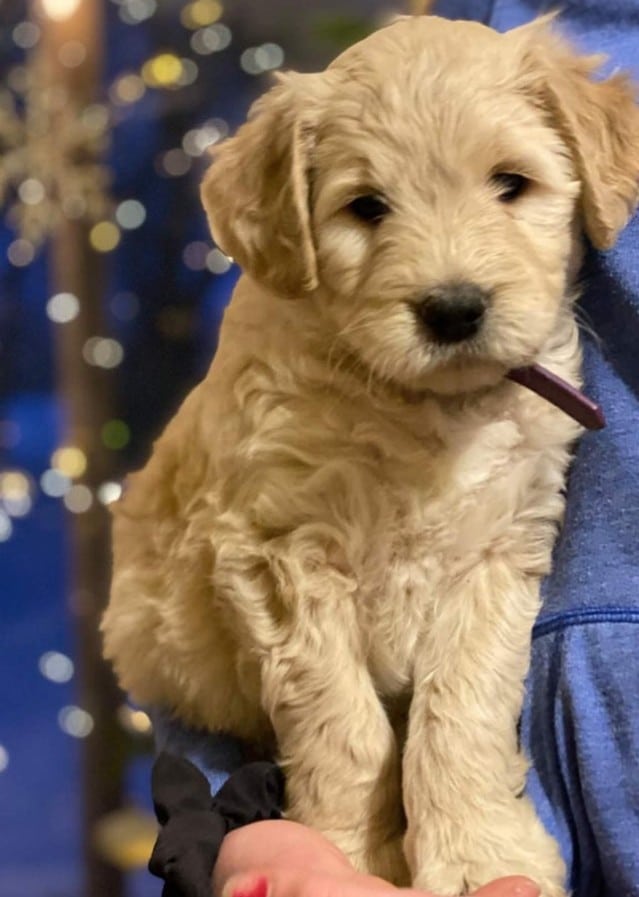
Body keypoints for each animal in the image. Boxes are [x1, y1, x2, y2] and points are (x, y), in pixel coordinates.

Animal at [102, 15, 639, 896]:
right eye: (365, 207)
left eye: (509, 184)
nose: (452, 309)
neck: (423, 408)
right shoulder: (273, 551)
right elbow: (339, 719)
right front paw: (352, 852)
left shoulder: (497, 553)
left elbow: (461, 709)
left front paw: (478, 852)